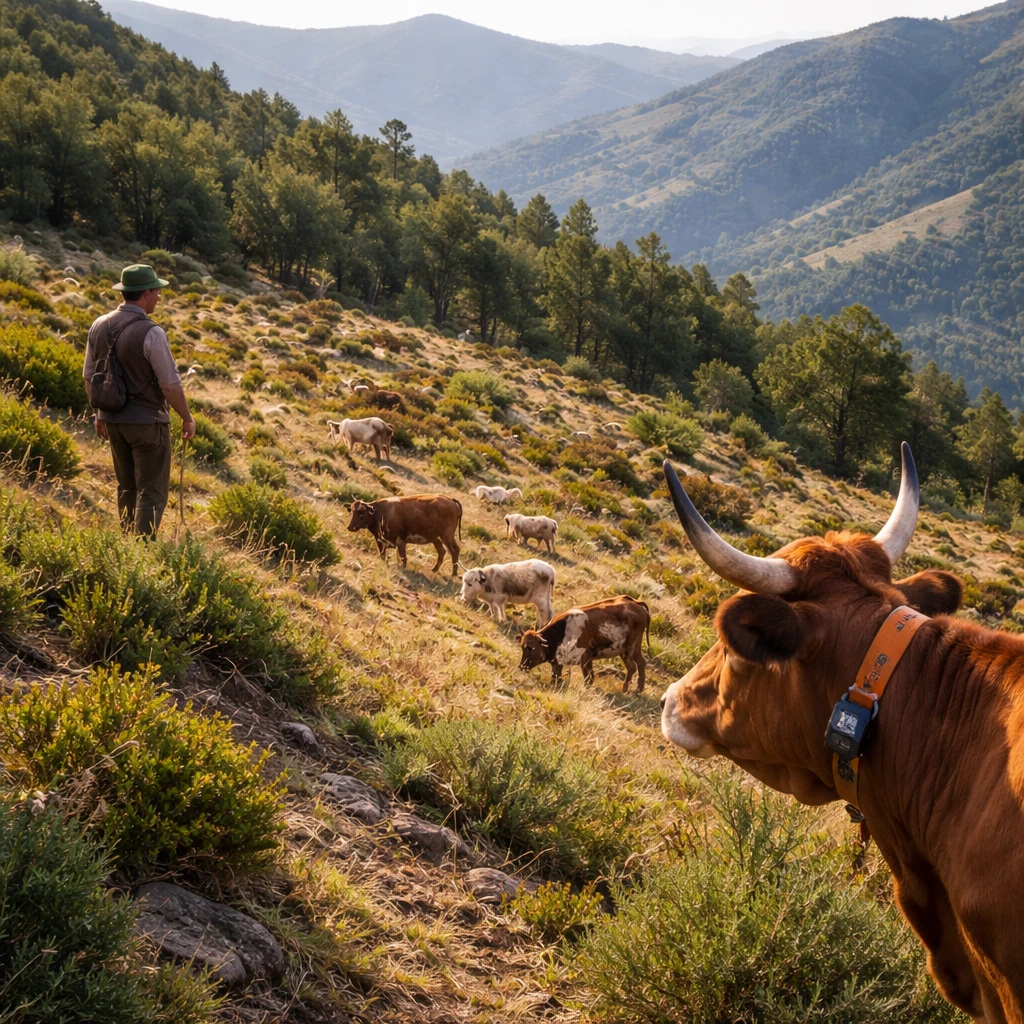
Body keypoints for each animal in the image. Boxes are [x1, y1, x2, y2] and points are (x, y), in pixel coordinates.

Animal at [520, 595, 650, 691]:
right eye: (522, 647)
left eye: (530, 648)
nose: (521, 666)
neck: (562, 631)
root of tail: (636, 602)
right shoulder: (560, 661)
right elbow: (556, 675)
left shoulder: (585, 656)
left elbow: (588, 677)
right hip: (628, 650)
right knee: (638, 664)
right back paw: (634, 689)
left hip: (629, 648)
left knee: (634, 666)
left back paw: (631, 689)